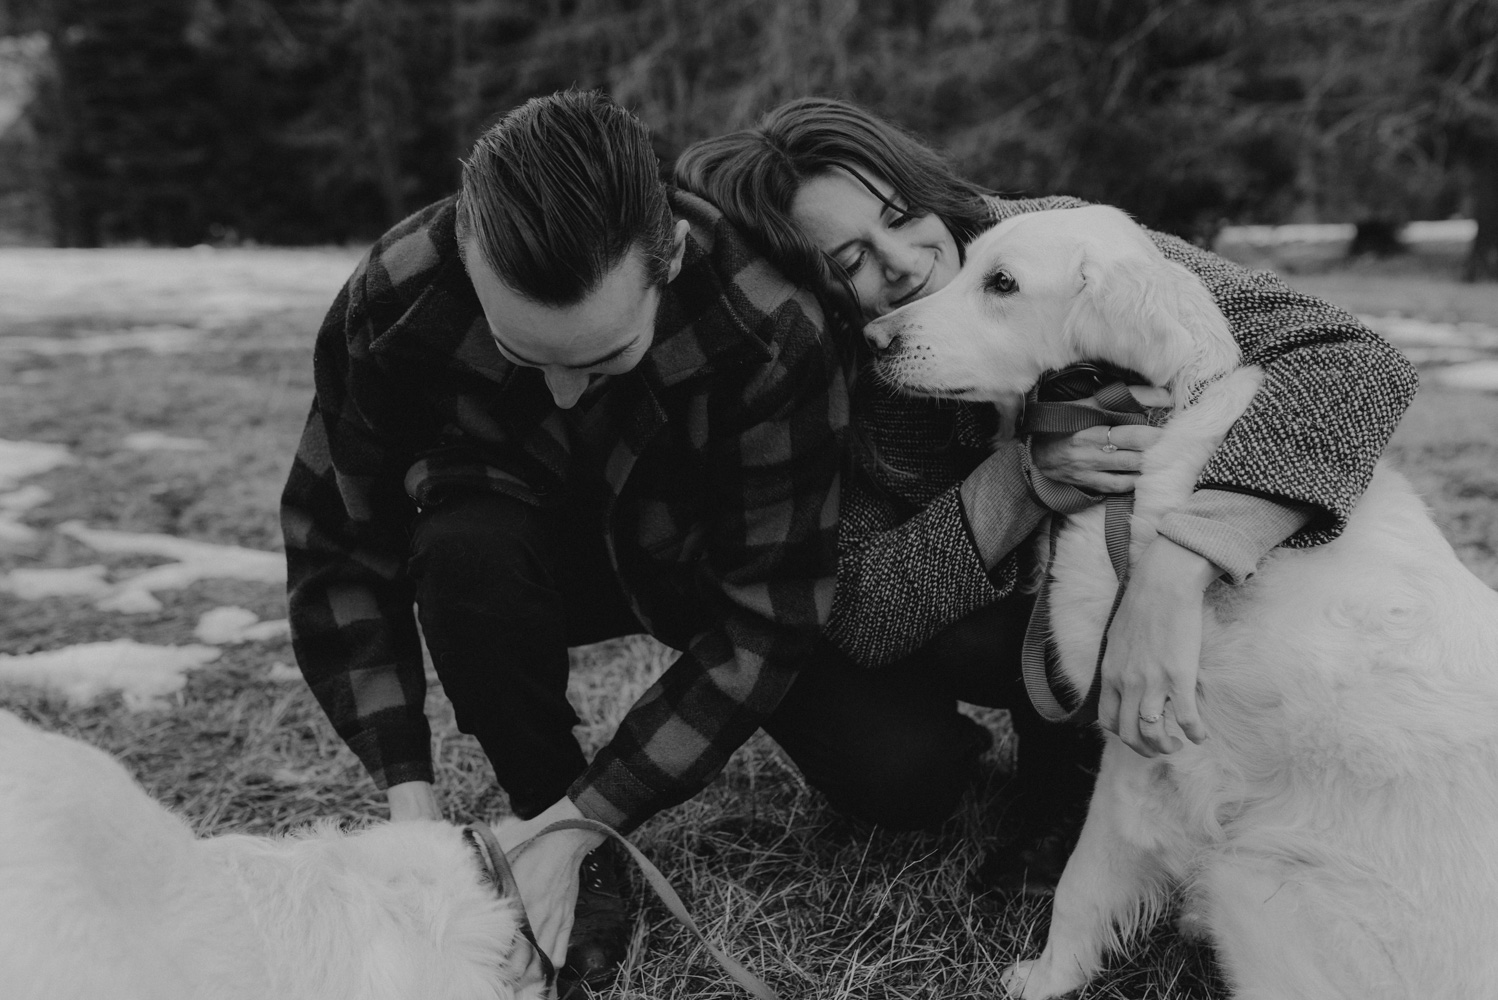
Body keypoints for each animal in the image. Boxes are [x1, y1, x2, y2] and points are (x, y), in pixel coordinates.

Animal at [862, 205, 1498, 999]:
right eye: (968, 265)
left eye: (1002, 284)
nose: (872, 338)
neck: (1147, 425)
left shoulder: (1138, 736)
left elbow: (1086, 879)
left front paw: (1050, 975)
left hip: (1252, 882)